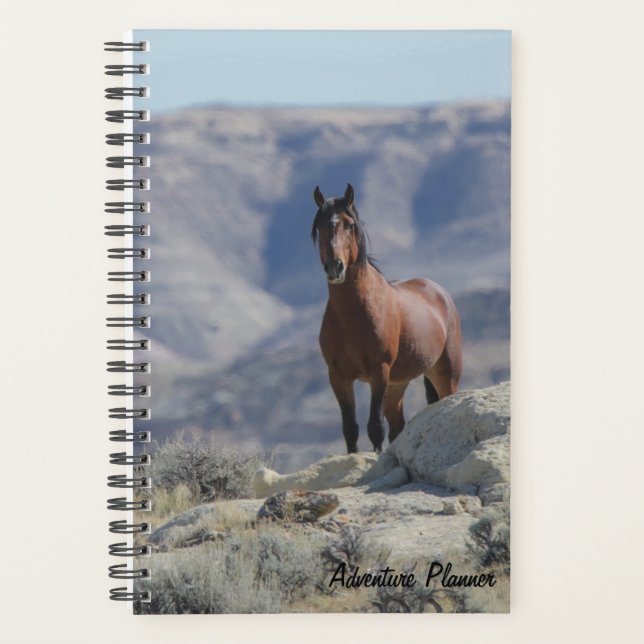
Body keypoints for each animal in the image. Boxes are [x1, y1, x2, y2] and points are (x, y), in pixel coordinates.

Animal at [312, 183, 463, 454]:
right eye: (319, 226)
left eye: (349, 224)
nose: (335, 267)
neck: (351, 316)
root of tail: (440, 293)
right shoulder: (338, 377)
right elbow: (350, 428)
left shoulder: (378, 373)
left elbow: (375, 426)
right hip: (397, 385)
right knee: (397, 426)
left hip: (446, 375)